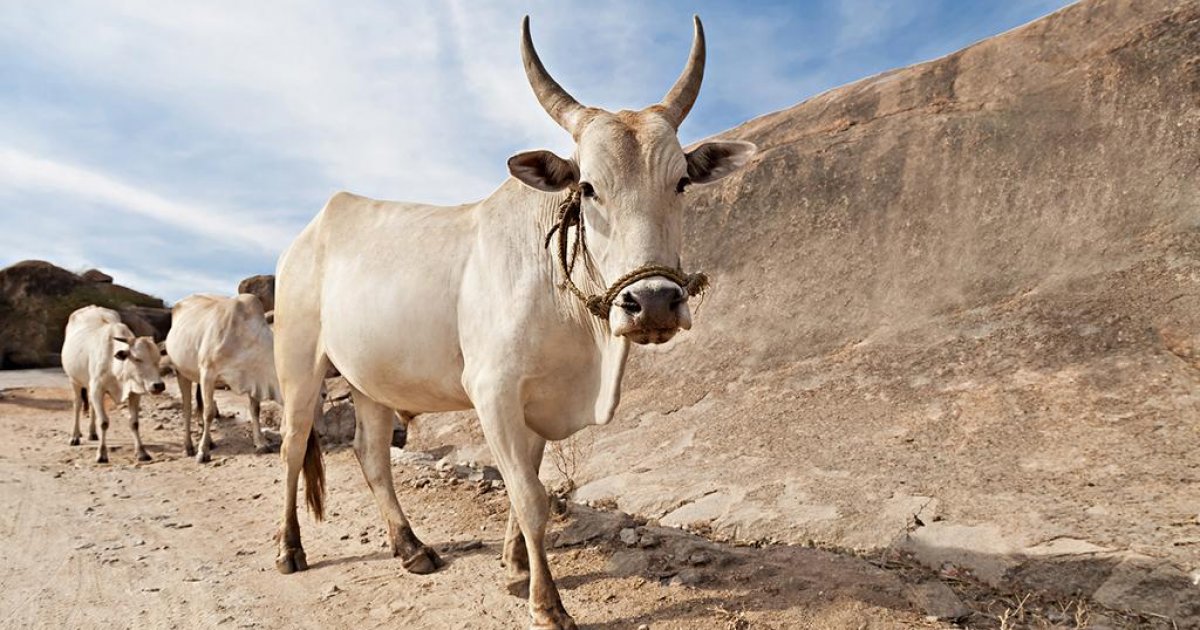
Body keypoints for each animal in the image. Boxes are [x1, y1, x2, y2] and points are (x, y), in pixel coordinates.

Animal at [61, 305, 166, 463]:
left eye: (158, 359)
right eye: (137, 359)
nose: (158, 385)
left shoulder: (133, 392)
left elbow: (134, 423)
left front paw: (141, 452)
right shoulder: (97, 388)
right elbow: (103, 422)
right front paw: (101, 454)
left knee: (91, 405)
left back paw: (92, 434)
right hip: (74, 380)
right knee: (78, 405)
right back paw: (75, 436)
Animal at [165, 294, 280, 463]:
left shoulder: (253, 379)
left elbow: (255, 410)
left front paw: (261, 443)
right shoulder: (208, 373)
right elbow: (209, 413)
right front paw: (202, 452)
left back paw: (210, 442)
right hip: (181, 372)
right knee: (187, 408)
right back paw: (189, 446)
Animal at [271, 16, 755, 630]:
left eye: (682, 184)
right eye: (588, 187)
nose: (653, 303)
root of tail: (308, 232)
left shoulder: (536, 402)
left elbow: (527, 478)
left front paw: (515, 566)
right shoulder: (493, 391)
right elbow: (530, 496)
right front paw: (547, 603)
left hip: (370, 381)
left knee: (371, 454)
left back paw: (411, 548)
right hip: (299, 364)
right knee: (292, 446)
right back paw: (290, 550)